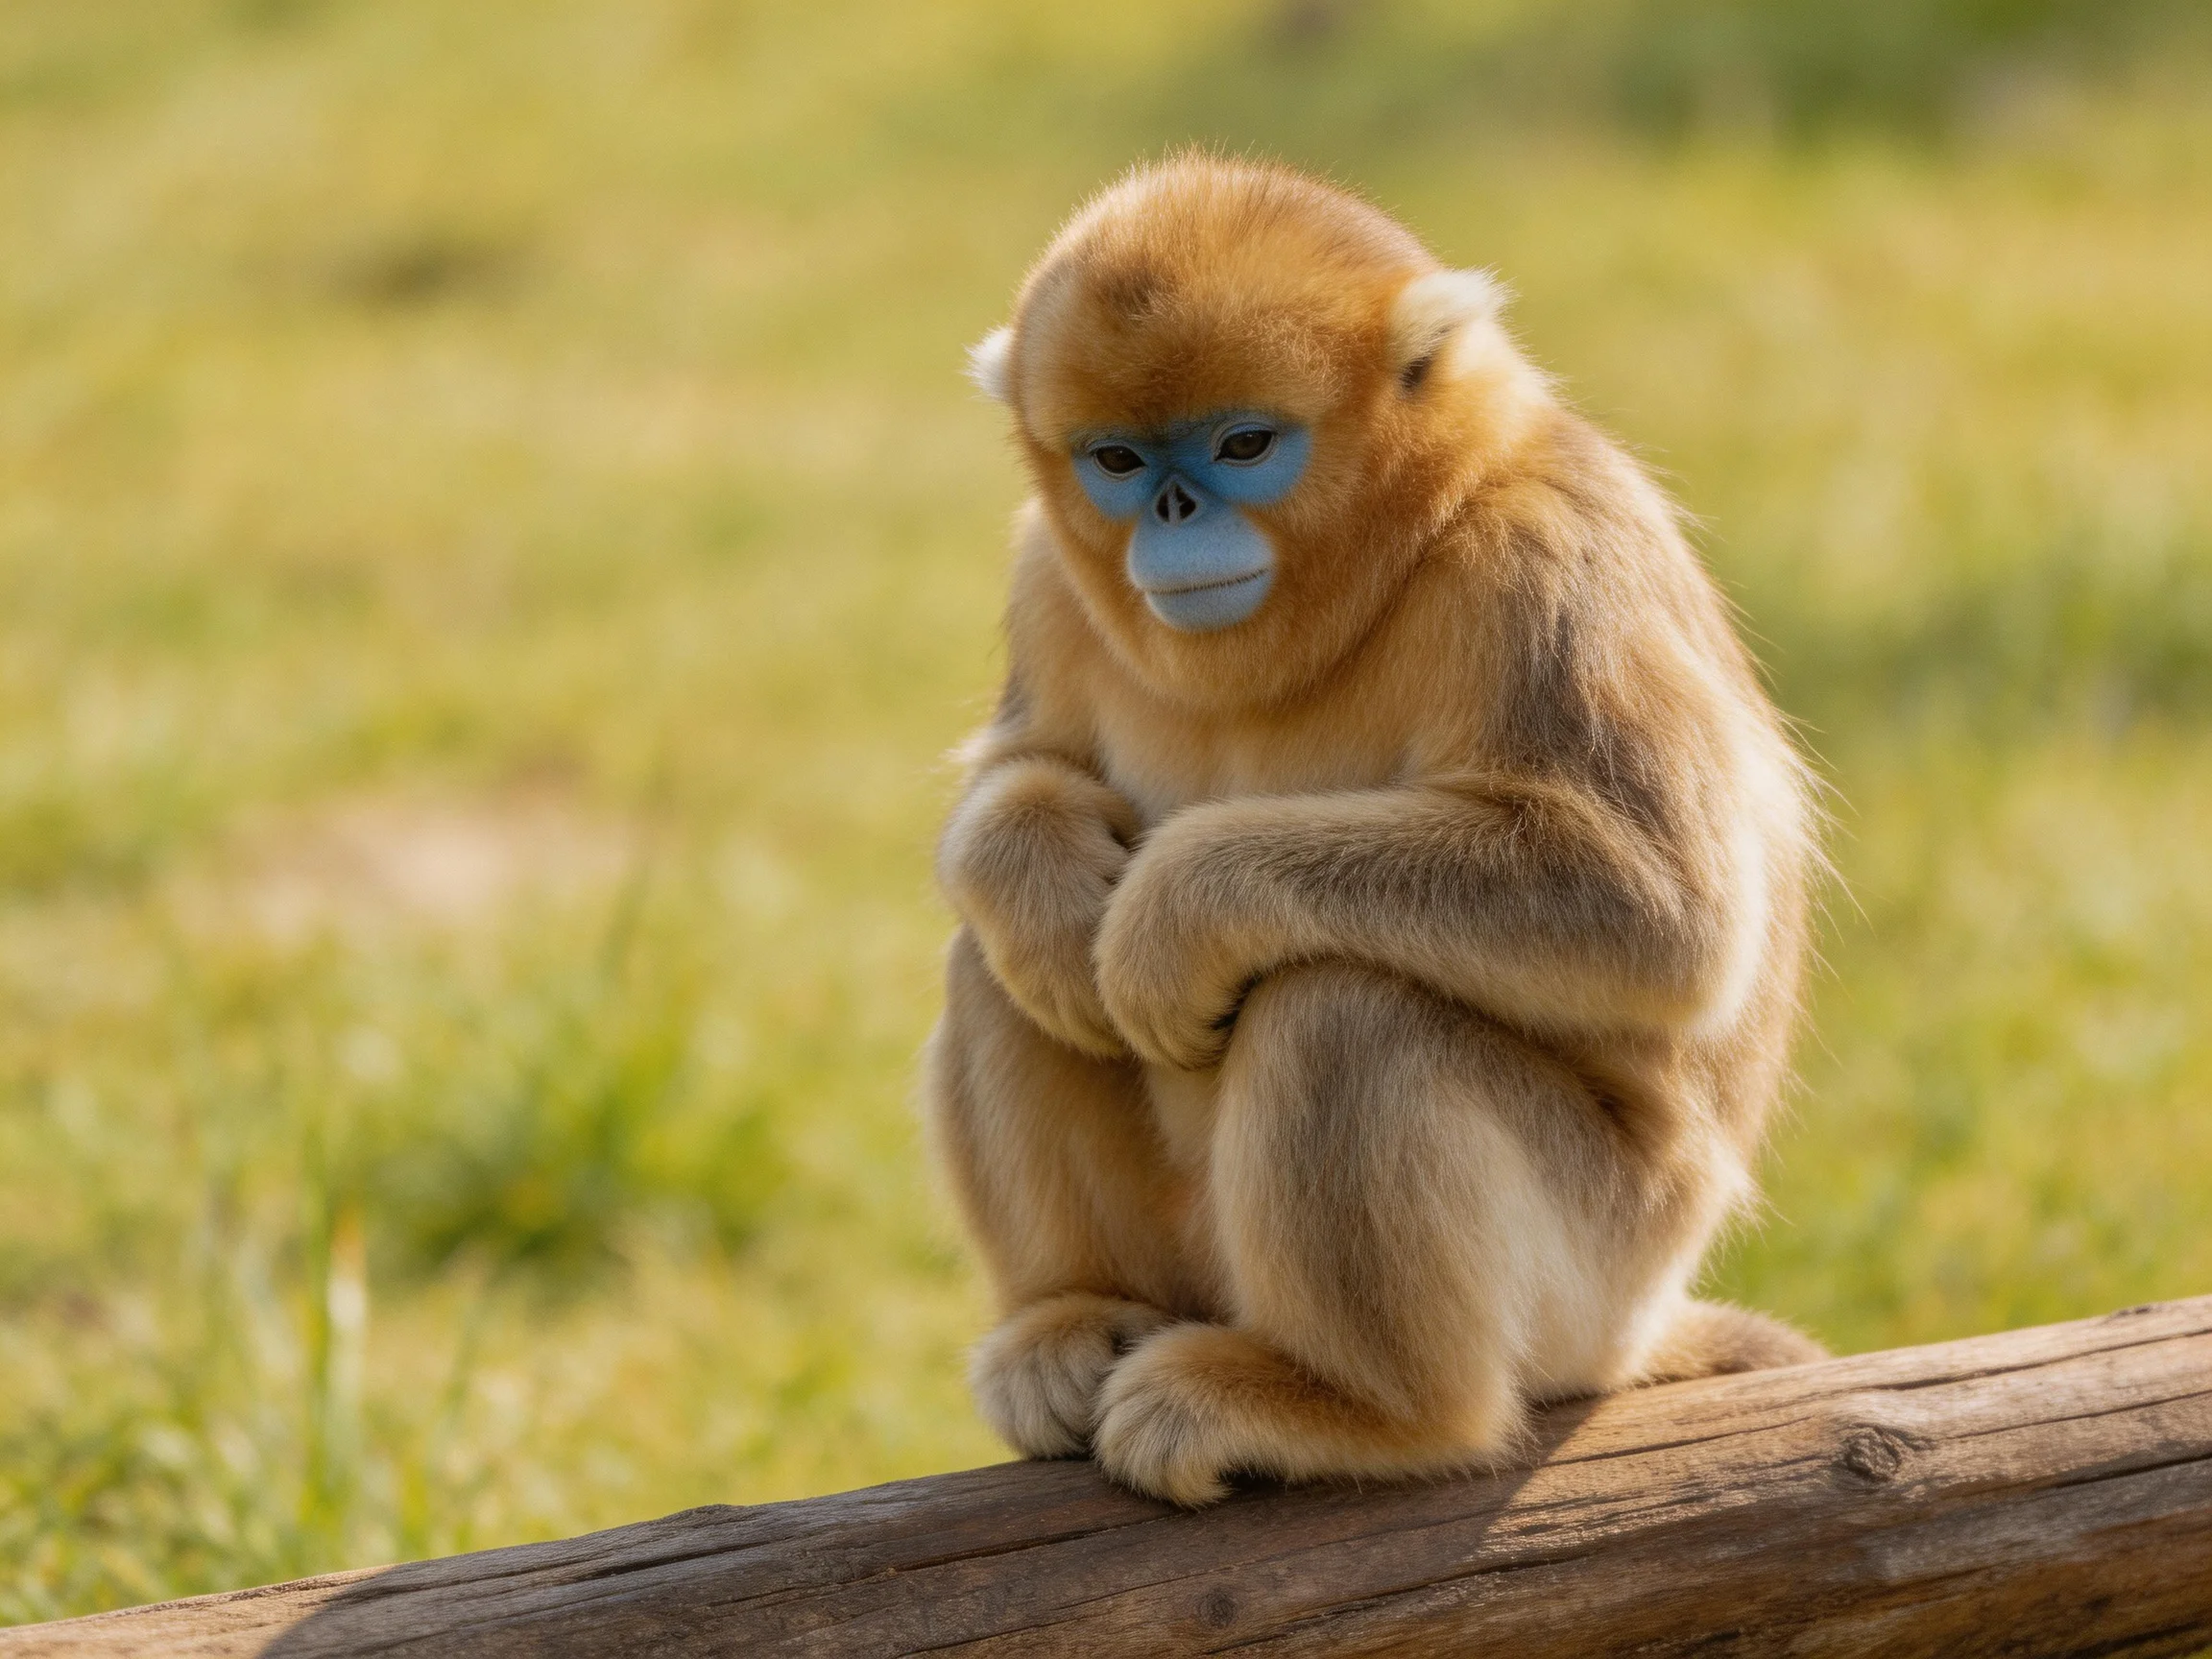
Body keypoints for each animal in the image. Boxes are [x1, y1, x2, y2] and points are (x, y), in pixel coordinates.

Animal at [925, 155, 1823, 1508]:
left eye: (1245, 444)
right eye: (1118, 459)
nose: (1173, 507)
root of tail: (1639, 1329)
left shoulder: (1545, 552)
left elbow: (1662, 913)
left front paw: (1178, 912)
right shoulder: (1050, 575)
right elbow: (1015, 779)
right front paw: (1038, 876)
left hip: (1596, 1278)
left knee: (1342, 1010)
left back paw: (1364, 1411)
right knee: (1006, 972)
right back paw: (1073, 1315)